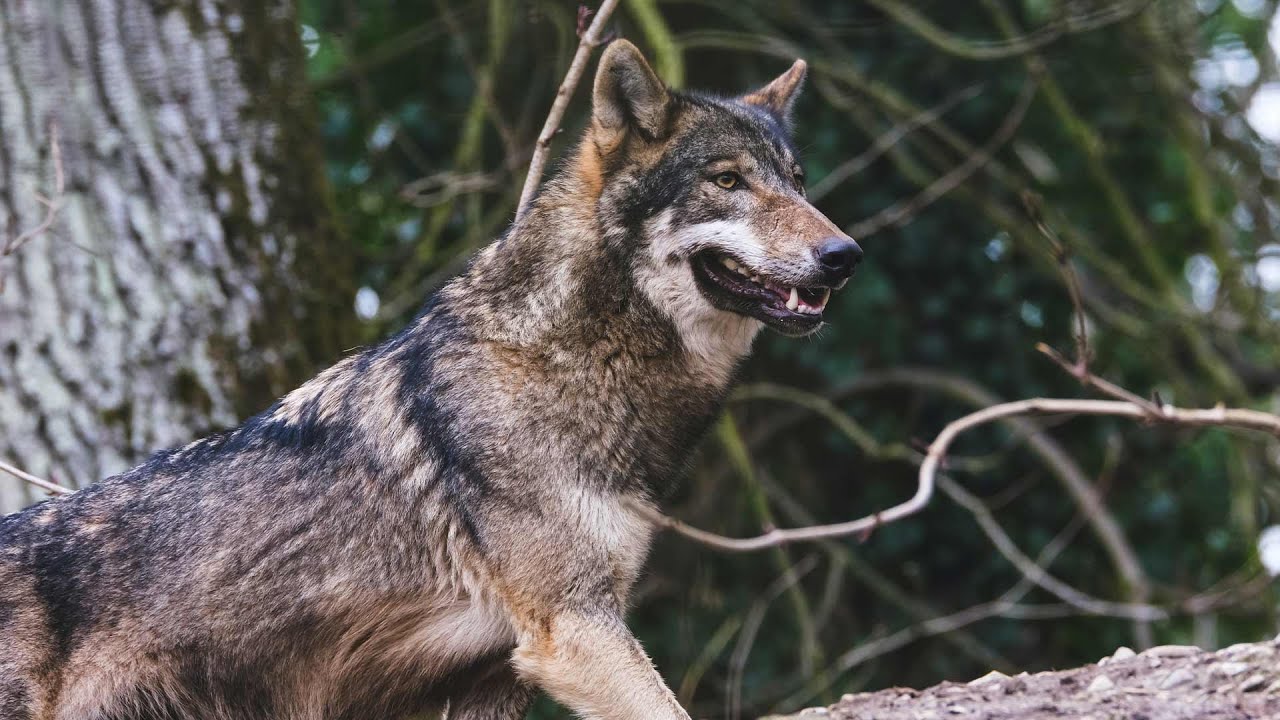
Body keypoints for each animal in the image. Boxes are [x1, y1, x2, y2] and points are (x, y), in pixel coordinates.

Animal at [0, 39, 860, 720]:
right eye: (727, 180)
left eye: (798, 180)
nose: (844, 255)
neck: (572, 355)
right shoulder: (573, 631)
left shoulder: (495, 677)